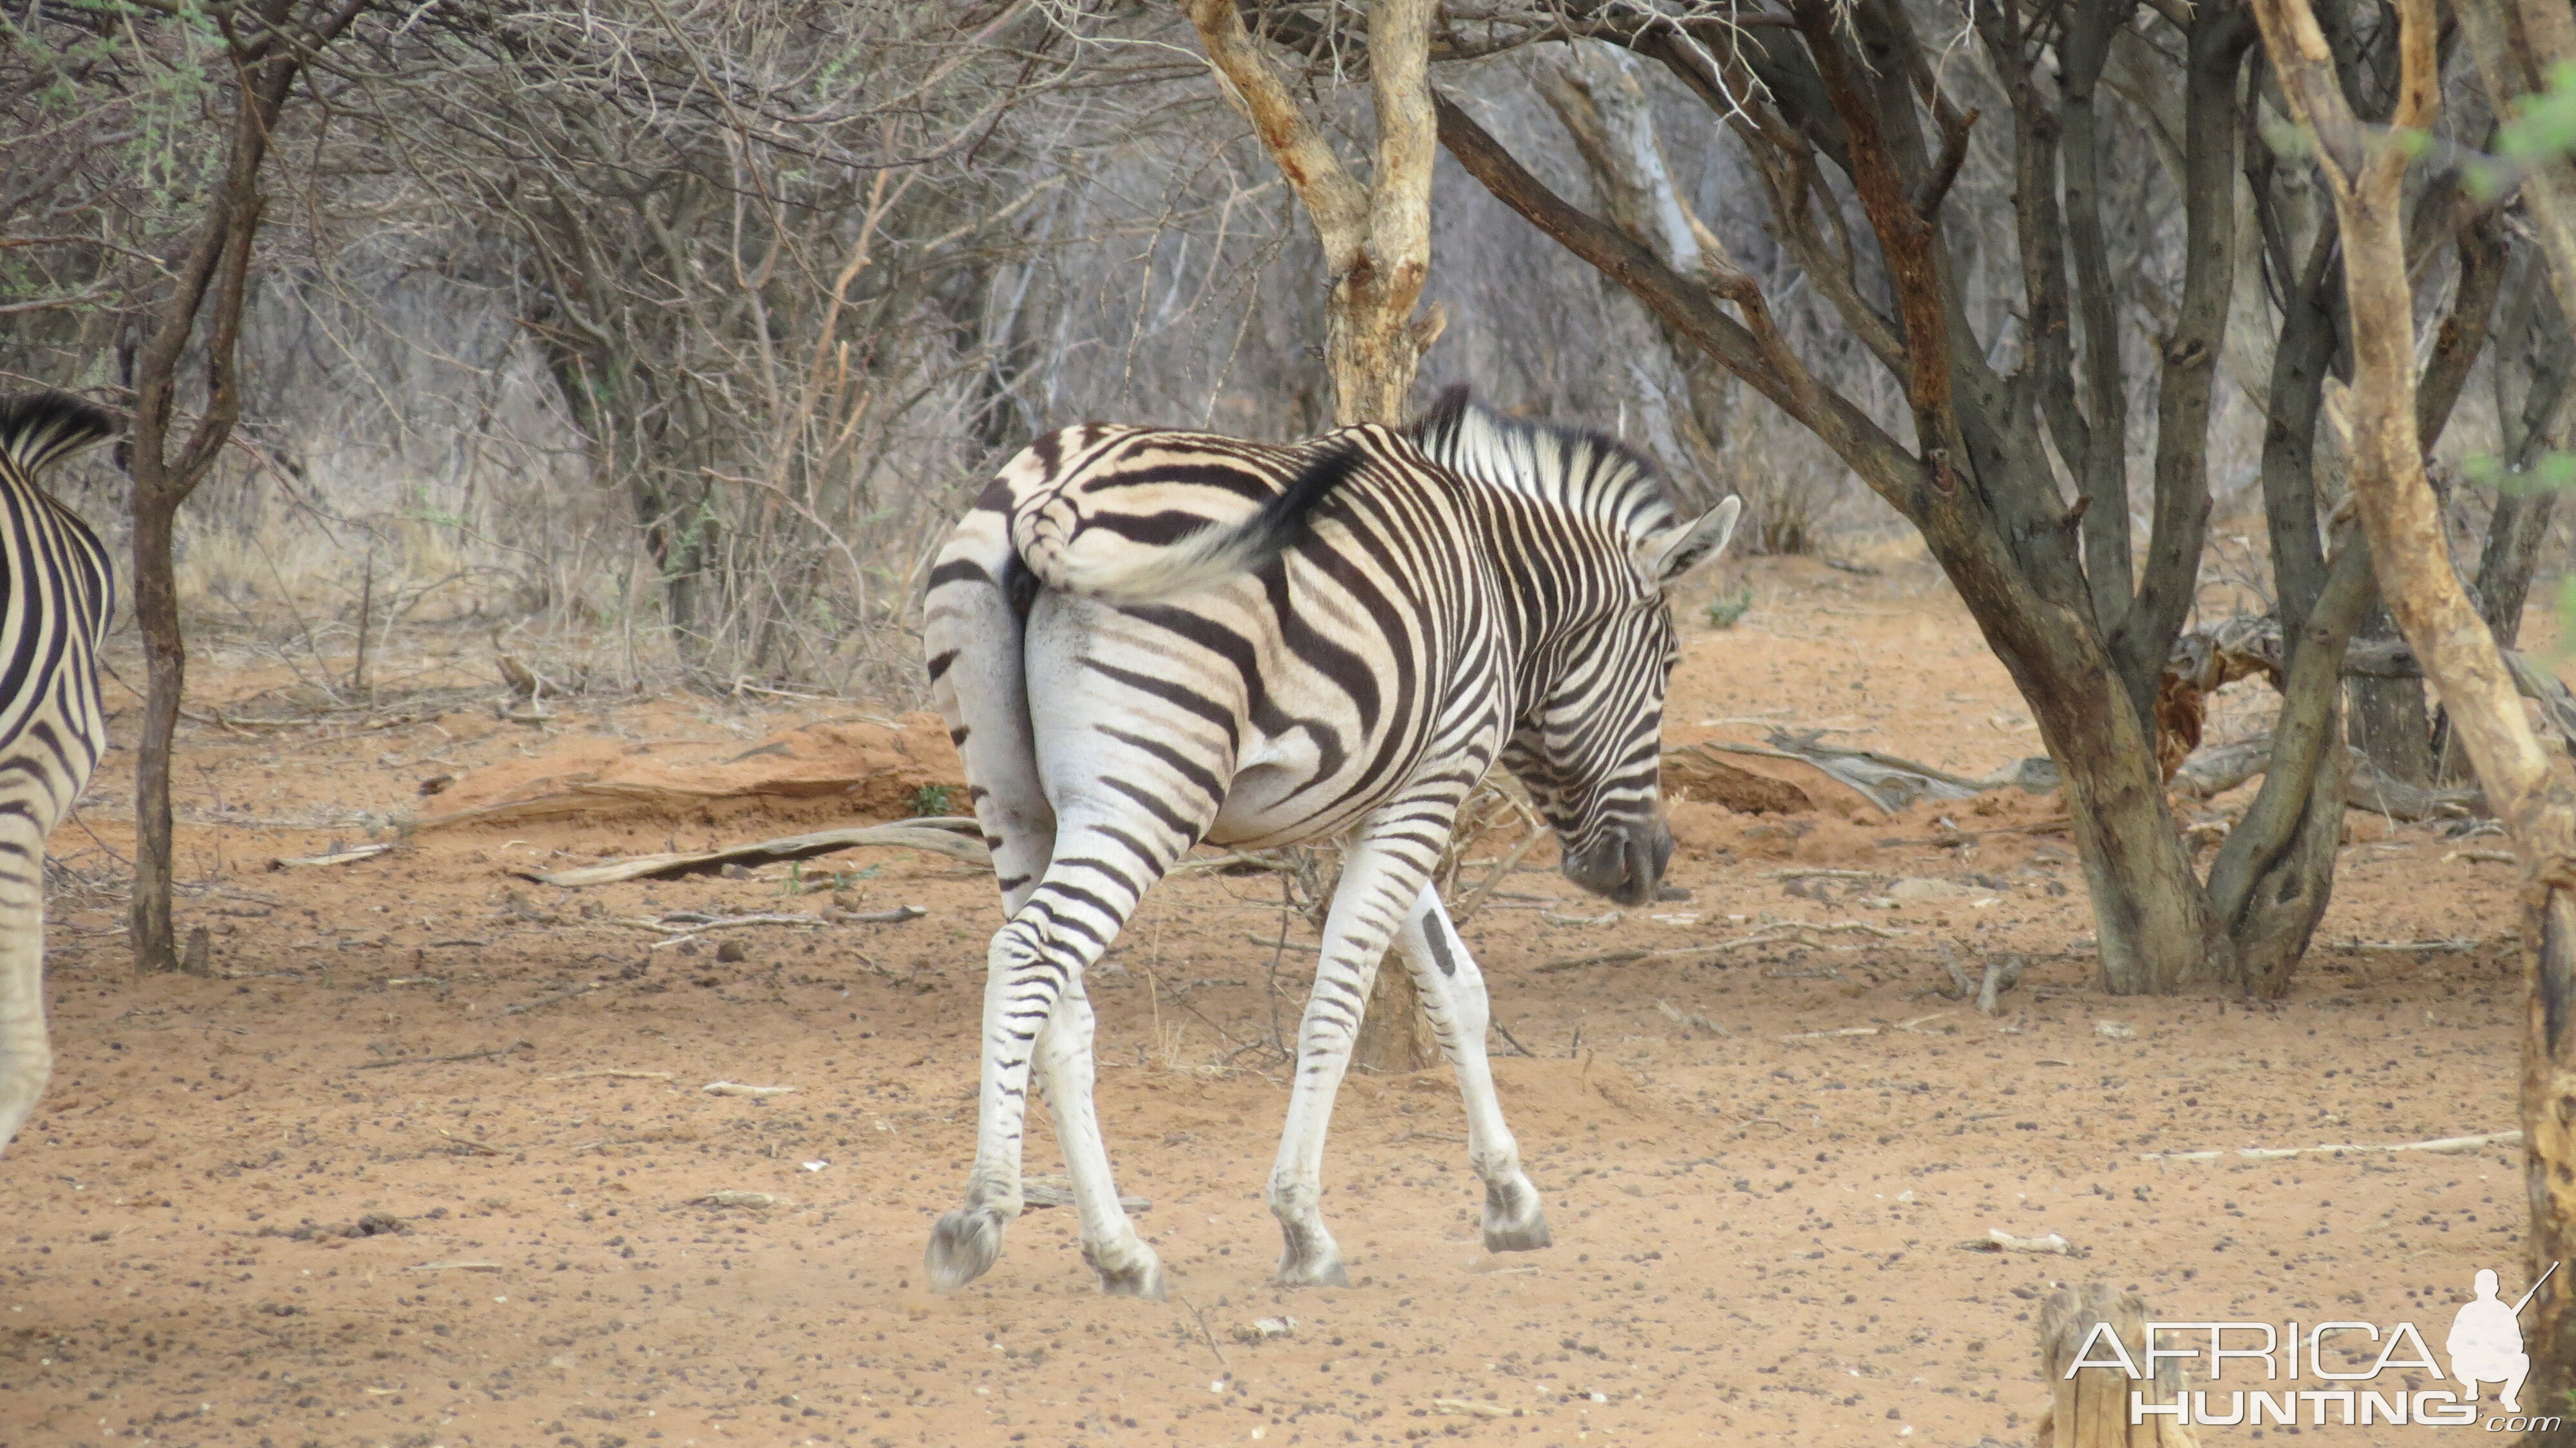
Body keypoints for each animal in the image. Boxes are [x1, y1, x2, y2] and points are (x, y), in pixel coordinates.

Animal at [917, 386, 1741, 1299]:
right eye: (1669, 664)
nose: (1648, 868)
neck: (1500, 577)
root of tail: (1048, 494)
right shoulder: (1432, 781)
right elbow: (1340, 1002)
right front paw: (1304, 1226)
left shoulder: (1382, 798)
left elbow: (1456, 989)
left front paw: (1510, 1197)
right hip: (1146, 788)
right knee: (1032, 953)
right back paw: (982, 1214)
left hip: (1009, 794)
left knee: (1058, 1000)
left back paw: (1119, 1250)